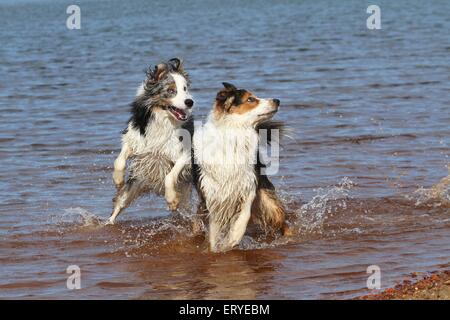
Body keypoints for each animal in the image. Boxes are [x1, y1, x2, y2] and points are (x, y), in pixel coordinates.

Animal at [109, 57, 195, 224]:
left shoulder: (184, 153)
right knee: (120, 203)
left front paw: (171, 199)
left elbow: (170, 176)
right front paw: (118, 180)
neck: (161, 119)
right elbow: (119, 161)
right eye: (171, 91)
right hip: (135, 184)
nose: (190, 102)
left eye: (185, 88)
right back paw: (108, 222)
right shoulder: (134, 138)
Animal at [192, 81, 290, 251]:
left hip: (268, 200)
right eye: (250, 99)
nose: (277, 100)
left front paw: (231, 240)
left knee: (281, 220)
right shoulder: (212, 193)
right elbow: (214, 229)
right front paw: (215, 248)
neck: (234, 135)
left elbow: (243, 217)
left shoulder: (248, 185)